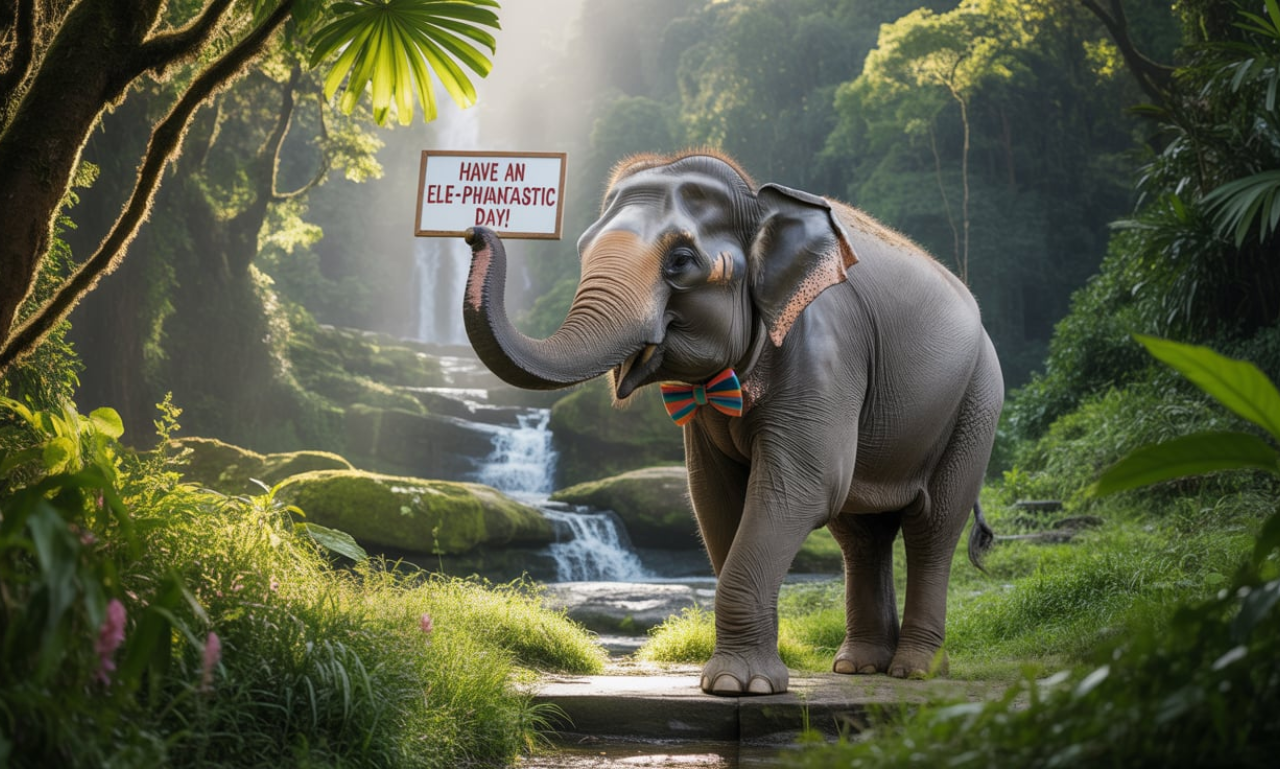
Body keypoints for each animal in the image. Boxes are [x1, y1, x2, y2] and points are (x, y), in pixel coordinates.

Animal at [461, 150, 1003, 696]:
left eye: (681, 261)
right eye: (581, 248)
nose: (474, 232)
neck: (759, 204)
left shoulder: (827, 345)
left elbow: (801, 487)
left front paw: (741, 685)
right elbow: (715, 496)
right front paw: (730, 682)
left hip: (978, 399)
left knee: (933, 526)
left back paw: (914, 670)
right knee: (861, 533)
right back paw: (859, 666)